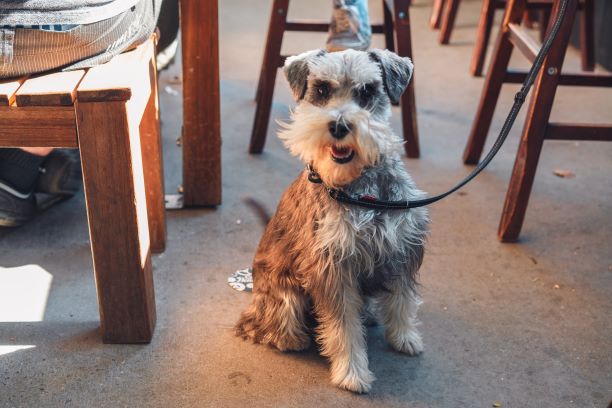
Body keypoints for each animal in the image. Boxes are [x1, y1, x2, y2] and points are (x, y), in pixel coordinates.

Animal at [237, 48, 428, 396]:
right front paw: (352, 372)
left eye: (367, 91)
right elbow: (342, 327)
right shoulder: (332, 268)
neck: (361, 189)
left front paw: (405, 337)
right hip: (284, 294)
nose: (339, 126)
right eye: (322, 89)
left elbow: (403, 300)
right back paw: (292, 338)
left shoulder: (401, 249)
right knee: (267, 323)